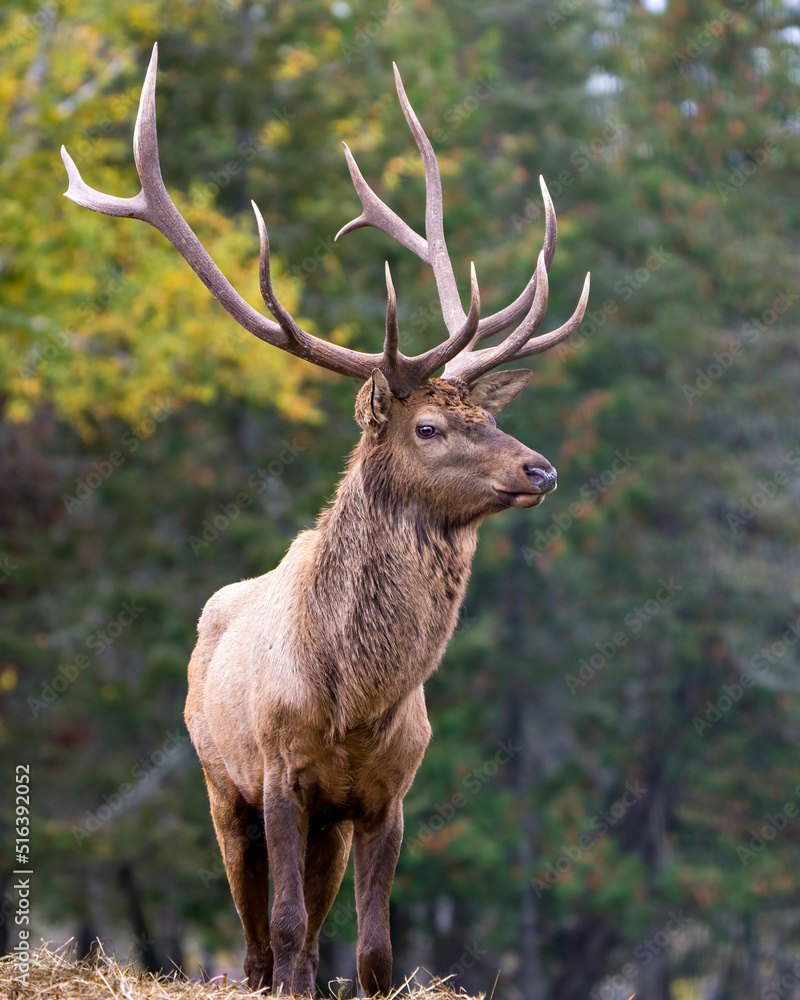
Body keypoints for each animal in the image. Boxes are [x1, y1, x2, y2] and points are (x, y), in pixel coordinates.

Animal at [61, 44, 590, 997]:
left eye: (485, 413)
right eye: (429, 426)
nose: (541, 468)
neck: (353, 705)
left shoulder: (386, 796)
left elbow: (373, 953)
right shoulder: (278, 776)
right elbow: (285, 932)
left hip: (327, 830)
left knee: (305, 938)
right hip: (220, 786)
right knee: (260, 948)